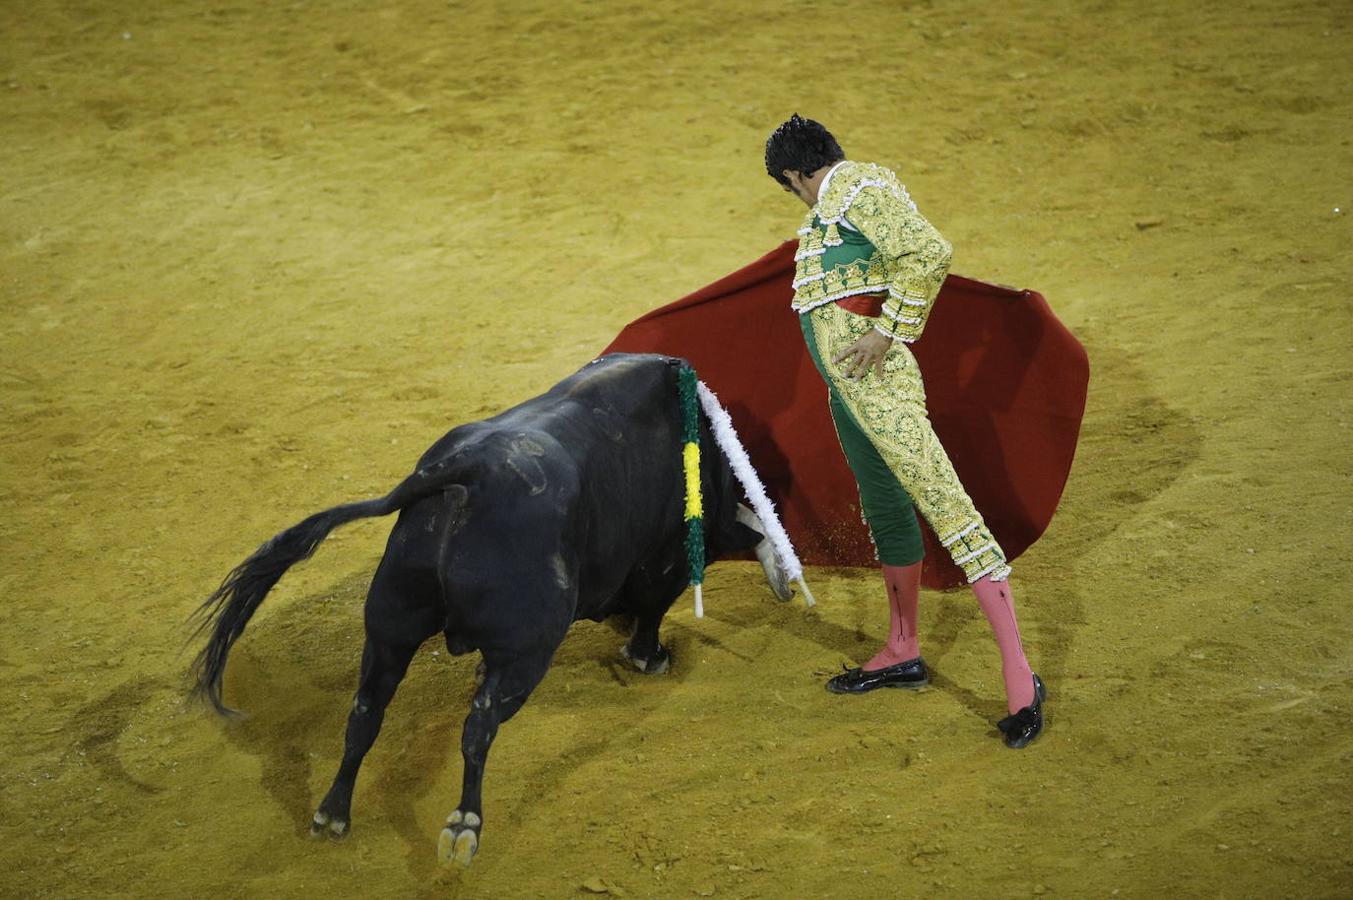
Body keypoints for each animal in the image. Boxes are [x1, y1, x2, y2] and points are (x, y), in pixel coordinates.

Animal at [186, 351, 790, 866]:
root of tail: (463, 471)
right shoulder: (668, 555)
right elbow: (673, 592)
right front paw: (655, 654)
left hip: (389, 630)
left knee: (364, 714)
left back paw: (333, 814)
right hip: (524, 654)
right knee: (477, 728)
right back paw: (462, 827)